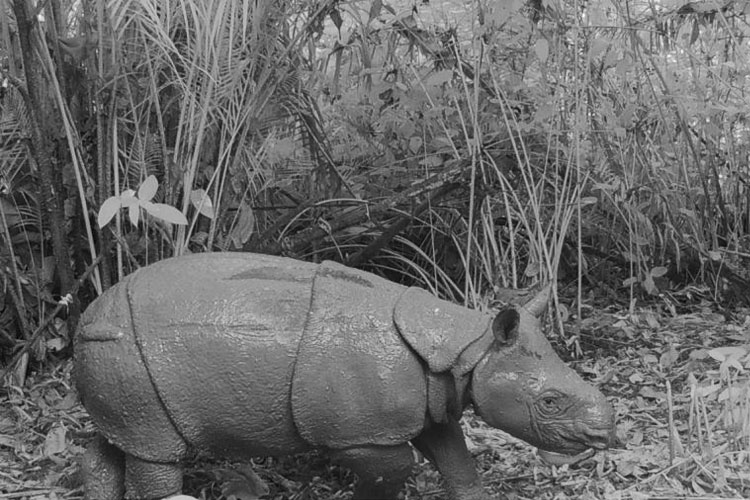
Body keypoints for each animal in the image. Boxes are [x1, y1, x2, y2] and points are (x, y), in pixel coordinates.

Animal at [75, 254, 616, 500]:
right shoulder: (361, 433)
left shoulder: (432, 403)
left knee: (124, 439)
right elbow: (394, 468)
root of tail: (86, 319)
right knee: (155, 450)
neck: (467, 349)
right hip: (130, 353)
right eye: (549, 402)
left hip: (122, 364)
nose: (605, 435)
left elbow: (455, 458)